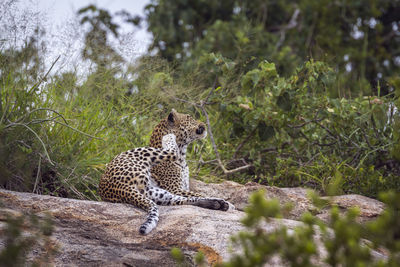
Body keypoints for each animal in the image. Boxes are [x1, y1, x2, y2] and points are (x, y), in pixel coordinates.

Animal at [99, 133, 230, 236]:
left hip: (156, 193)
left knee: (182, 200)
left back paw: (219, 204)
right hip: (145, 154)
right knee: (172, 152)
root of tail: (120, 187)